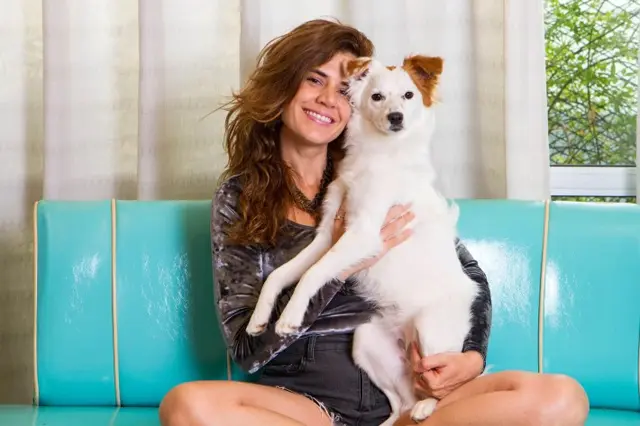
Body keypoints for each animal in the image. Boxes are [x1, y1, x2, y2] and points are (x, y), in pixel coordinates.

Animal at [246, 54, 479, 425]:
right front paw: (260, 317)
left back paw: (428, 406)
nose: (396, 117)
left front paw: (289, 317)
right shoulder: (328, 236)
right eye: (377, 97)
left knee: (441, 383)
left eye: (409, 95)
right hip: (364, 339)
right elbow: (281, 275)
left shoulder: (363, 234)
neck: (380, 154)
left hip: (430, 331)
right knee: (402, 400)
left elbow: (311, 274)